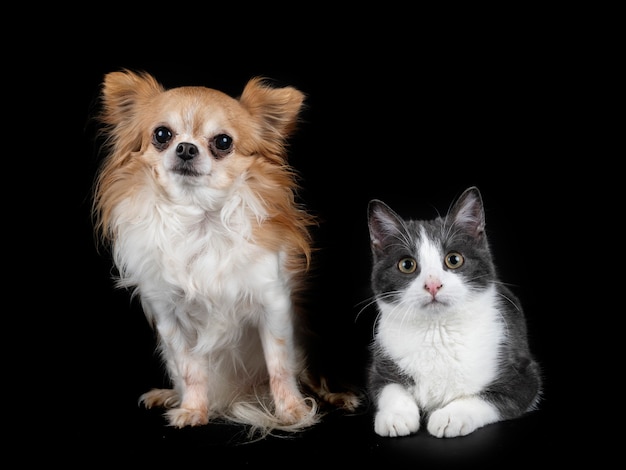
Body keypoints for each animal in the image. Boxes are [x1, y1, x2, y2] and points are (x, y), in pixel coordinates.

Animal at [364, 186, 540, 436]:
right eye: (407, 265)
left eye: (454, 259)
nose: (433, 284)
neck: (438, 330)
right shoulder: (379, 366)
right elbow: (388, 386)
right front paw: (396, 416)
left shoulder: (524, 376)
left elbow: (488, 398)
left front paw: (450, 416)